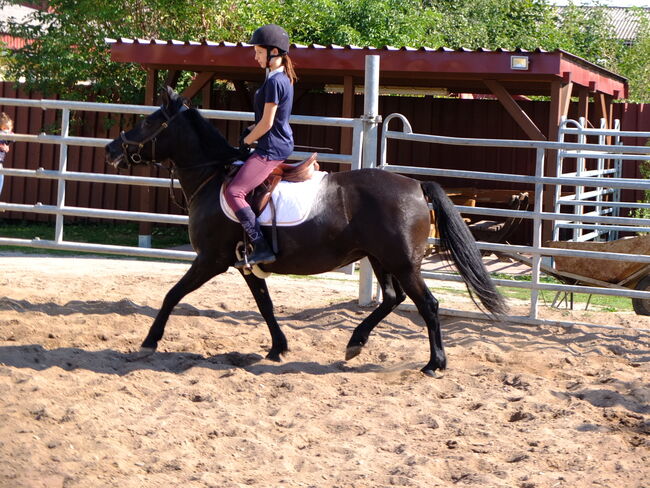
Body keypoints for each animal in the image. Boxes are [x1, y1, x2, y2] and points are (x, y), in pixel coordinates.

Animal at [105, 87, 506, 376]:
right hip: (379, 258)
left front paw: (149, 341)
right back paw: (355, 343)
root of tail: (415, 186)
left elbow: (172, 295)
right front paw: (278, 347)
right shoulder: (246, 265)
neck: (214, 176)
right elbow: (265, 305)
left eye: (148, 123)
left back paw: (434, 364)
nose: (111, 149)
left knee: (428, 304)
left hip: (403, 263)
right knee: (393, 299)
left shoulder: (210, 260)